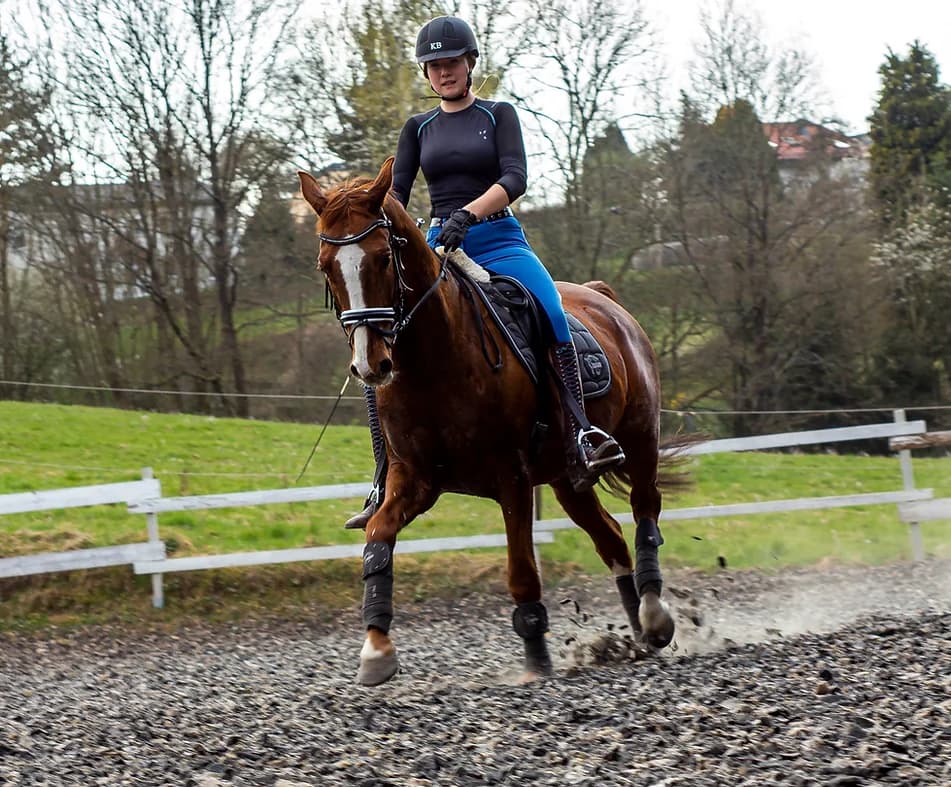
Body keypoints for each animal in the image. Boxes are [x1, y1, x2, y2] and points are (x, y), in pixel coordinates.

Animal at [302, 159, 680, 684]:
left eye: (381, 258)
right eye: (326, 266)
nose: (370, 365)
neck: (434, 361)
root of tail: (603, 299)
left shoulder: (511, 477)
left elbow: (521, 569)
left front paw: (536, 657)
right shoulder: (414, 479)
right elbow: (378, 539)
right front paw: (376, 648)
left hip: (640, 439)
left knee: (645, 511)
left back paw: (653, 616)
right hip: (567, 478)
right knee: (610, 536)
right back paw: (637, 635)